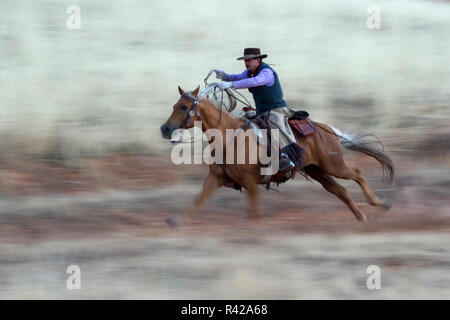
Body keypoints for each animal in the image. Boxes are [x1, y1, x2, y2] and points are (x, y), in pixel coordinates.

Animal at [161, 85, 394, 225]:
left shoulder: (250, 182)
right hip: (316, 170)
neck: (228, 136)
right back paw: (361, 216)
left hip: (333, 165)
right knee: (340, 190)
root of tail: (326, 128)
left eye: (184, 107)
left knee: (357, 173)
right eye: (174, 105)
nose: (165, 129)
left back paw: (379, 203)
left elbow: (254, 212)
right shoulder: (215, 178)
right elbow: (198, 201)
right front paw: (178, 221)